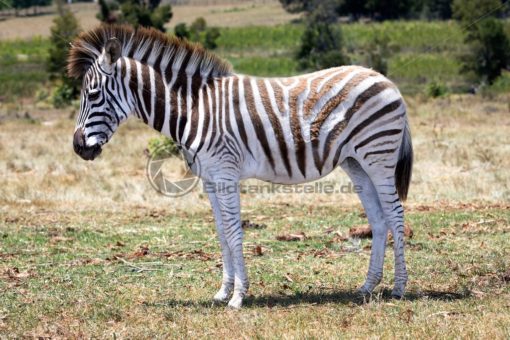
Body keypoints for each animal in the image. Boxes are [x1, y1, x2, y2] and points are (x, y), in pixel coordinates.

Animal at [67, 25, 412, 310]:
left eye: (93, 95)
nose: (78, 147)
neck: (195, 109)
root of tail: (386, 80)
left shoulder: (225, 172)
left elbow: (234, 231)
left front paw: (238, 297)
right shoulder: (209, 178)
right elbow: (221, 232)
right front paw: (222, 292)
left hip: (378, 156)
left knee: (395, 213)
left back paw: (398, 288)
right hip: (356, 162)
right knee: (378, 218)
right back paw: (367, 287)